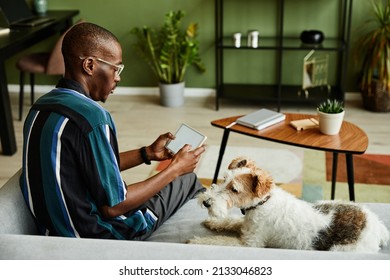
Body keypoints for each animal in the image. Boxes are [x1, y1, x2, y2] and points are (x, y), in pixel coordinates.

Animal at [187, 158, 388, 252]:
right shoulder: (246, 225)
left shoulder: (250, 243)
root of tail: (377, 225)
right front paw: (213, 223)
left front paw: (195, 241)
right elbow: (232, 221)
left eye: (234, 189)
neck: (263, 203)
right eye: (224, 178)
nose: (206, 202)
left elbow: (218, 241)